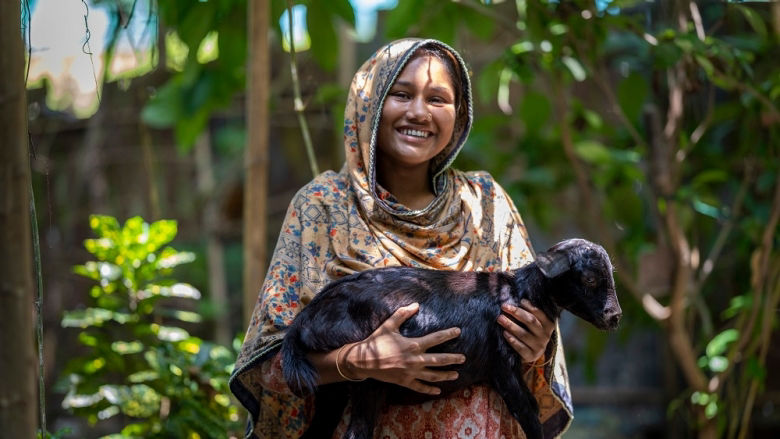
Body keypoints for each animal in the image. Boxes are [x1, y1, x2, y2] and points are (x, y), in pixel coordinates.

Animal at [281, 238, 622, 439]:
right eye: (590, 278)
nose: (615, 316)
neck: (518, 292)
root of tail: (303, 321)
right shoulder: (501, 365)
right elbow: (528, 413)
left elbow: (532, 407)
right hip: (369, 378)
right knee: (356, 432)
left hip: (334, 388)